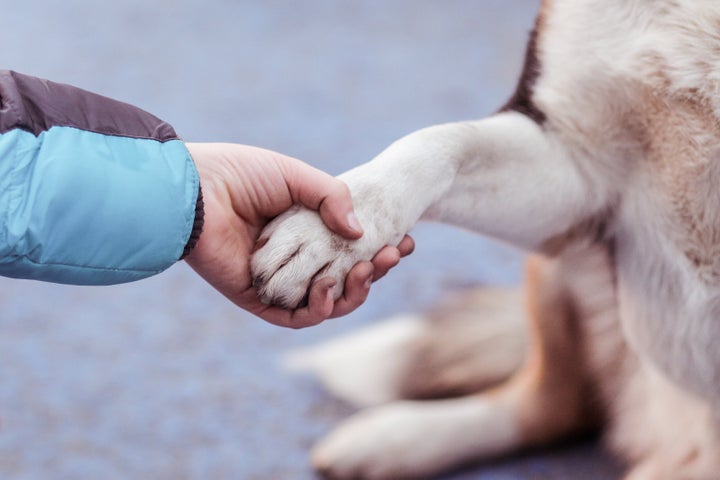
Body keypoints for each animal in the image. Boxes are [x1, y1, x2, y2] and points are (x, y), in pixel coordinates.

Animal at [0, 1, 620, 478]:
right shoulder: (569, 161)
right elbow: (436, 143)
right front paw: (329, 234)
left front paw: (326, 242)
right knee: (553, 406)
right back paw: (390, 440)